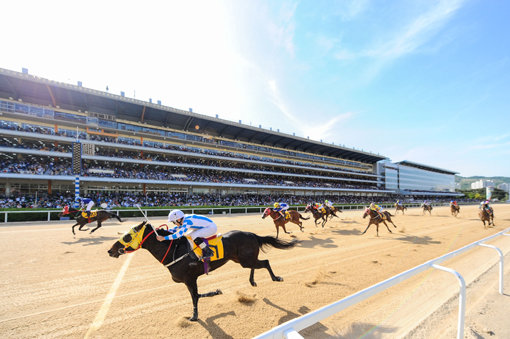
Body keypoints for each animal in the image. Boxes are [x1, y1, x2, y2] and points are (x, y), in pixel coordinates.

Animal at [108, 222, 298, 322]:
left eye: (127, 236)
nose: (110, 250)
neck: (174, 251)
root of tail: (251, 234)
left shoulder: (190, 279)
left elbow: (195, 297)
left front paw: (194, 316)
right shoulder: (190, 280)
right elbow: (198, 295)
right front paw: (216, 292)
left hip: (245, 260)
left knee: (265, 262)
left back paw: (276, 278)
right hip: (242, 260)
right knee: (256, 264)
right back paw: (252, 281)